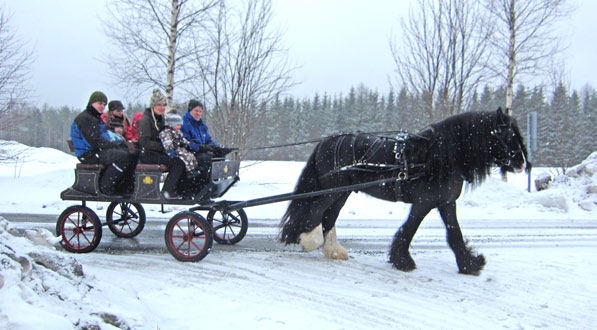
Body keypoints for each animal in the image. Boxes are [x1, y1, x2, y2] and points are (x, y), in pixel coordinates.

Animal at [278, 109, 528, 276]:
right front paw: (403, 261)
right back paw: (307, 240)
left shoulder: (446, 202)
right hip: (331, 189)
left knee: (327, 216)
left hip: (342, 193)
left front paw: (470, 264)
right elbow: (409, 229)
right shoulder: (424, 202)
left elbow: (454, 233)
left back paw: (332, 250)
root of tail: (325, 142)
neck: (435, 157)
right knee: (313, 212)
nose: (522, 163)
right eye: (507, 135)